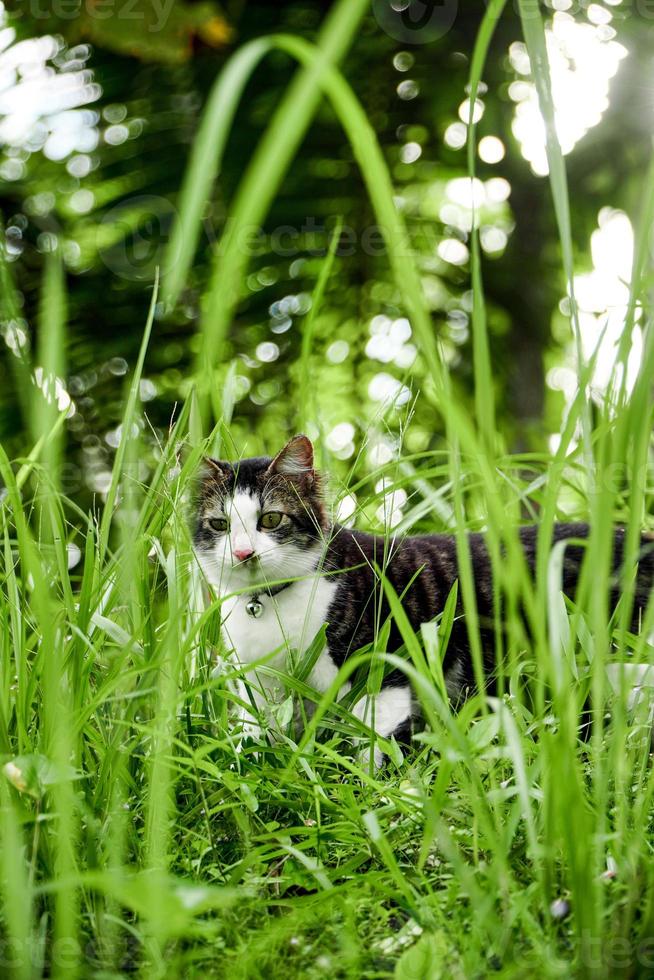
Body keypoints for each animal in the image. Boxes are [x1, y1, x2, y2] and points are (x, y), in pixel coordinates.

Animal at [195, 432, 654, 760]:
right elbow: (254, 742)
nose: (244, 553)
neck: (267, 604)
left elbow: (373, 749)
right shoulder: (258, 687)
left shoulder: (384, 670)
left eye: (271, 519)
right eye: (220, 525)